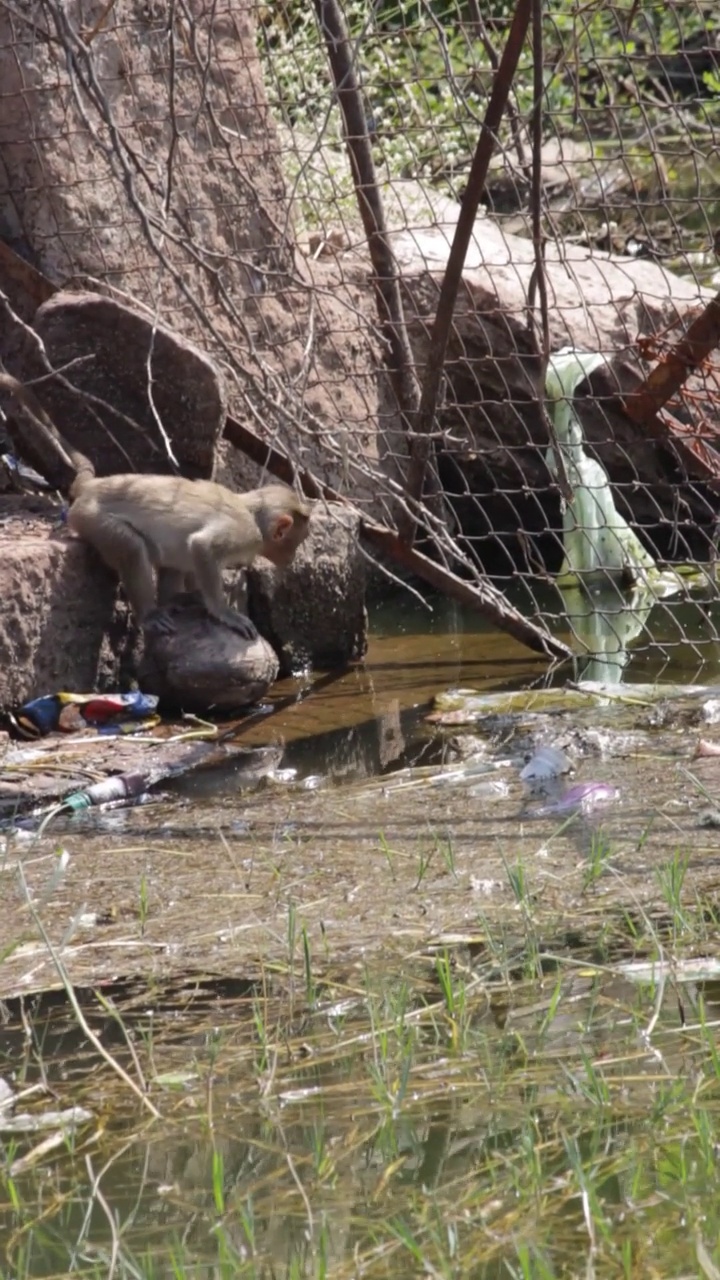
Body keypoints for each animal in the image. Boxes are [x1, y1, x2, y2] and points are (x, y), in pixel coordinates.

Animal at [0, 373, 310, 637]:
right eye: (295, 541)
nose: (292, 558)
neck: (252, 513)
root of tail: (93, 486)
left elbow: (191, 554)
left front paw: (197, 597)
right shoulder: (244, 533)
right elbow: (203, 547)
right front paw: (222, 611)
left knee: (170, 557)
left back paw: (174, 600)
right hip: (89, 517)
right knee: (132, 547)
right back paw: (150, 614)